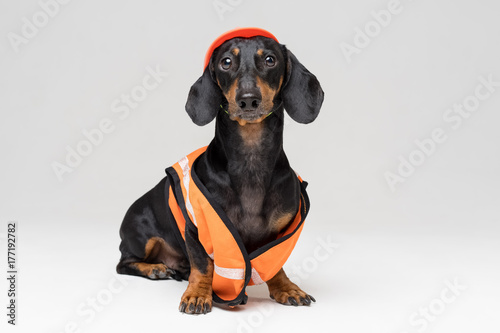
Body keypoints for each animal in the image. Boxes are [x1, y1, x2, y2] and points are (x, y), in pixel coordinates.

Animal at [118, 27, 324, 312]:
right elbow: (203, 265)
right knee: (124, 263)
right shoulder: (195, 228)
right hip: (141, 234)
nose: (248, 100)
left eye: (270, 59)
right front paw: (197, 294)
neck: (250, 160)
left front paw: (286, 288)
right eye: (226, 62)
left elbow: (274, 263)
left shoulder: (282, 232)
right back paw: (155, 269)